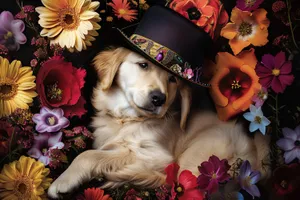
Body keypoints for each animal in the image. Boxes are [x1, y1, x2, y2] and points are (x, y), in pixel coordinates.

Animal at [48, 47, 270, 198]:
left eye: (173, 79)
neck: (126, 119)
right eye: (143, 64)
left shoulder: (158, 156)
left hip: (198, 155)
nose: (158, 99)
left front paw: (63, 180)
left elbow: (89, 155)